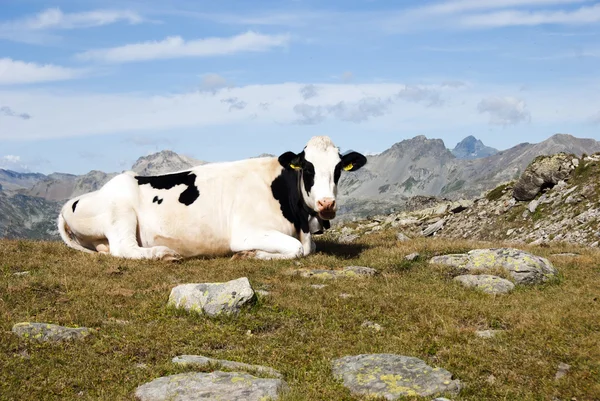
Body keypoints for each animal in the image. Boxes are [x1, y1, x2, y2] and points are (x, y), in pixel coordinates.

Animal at [57, 135, 366, 260]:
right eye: (308, 167)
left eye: (338, 168)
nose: (327, 204)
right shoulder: (246, 232)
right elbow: (298, 249)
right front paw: (251, 255)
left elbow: (307, 248)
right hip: (120, 212)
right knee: (124, 248)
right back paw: (163, 253)